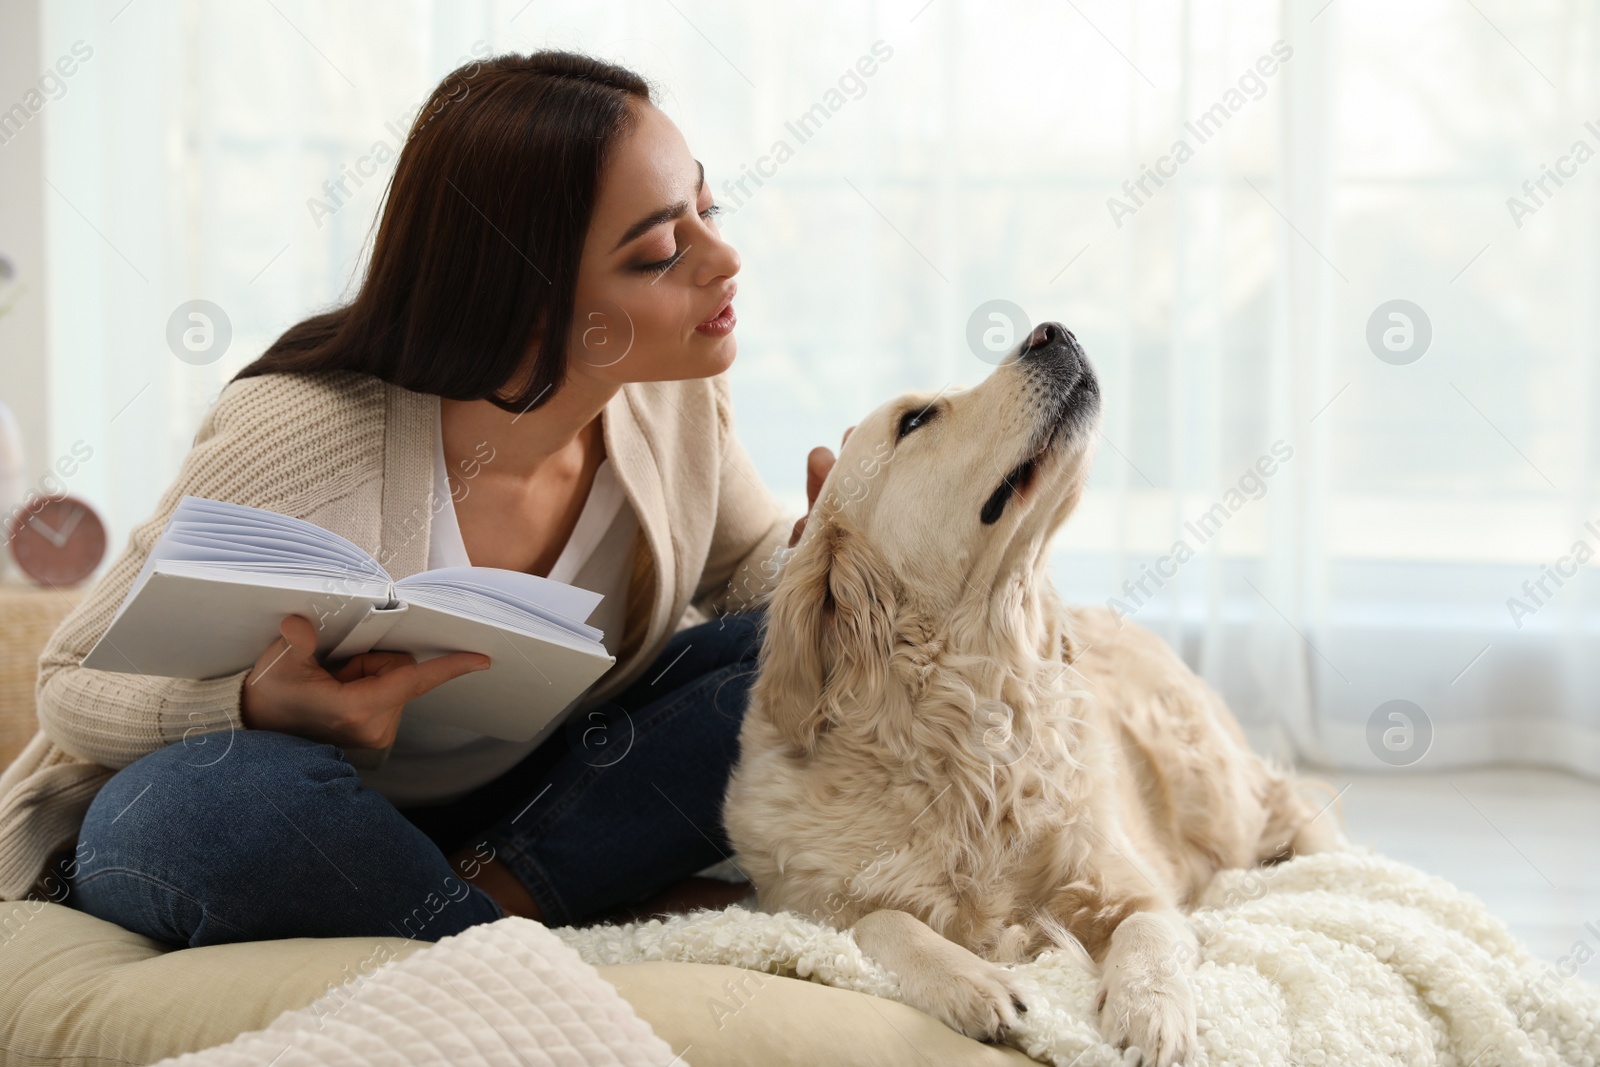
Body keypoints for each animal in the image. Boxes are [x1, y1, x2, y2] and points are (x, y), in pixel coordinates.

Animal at [732, 321, 1344, 1062]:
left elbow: (1150, 930)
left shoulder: (1132, 888)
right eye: (916, 419)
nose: (1053, 332)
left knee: (1294, 808)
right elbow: (879, 922)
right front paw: (969, 980)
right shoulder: (796, 904)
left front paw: (1150, 1009)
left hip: (1219, 792)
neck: (976, 726)